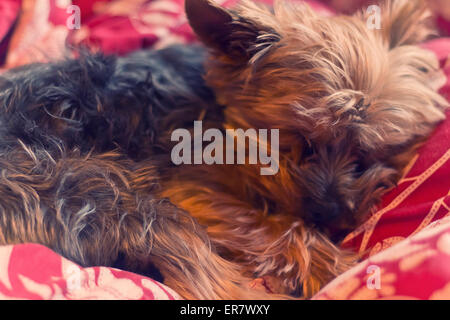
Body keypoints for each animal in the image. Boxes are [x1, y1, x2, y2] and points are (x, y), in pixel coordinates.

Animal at [0, 0, 446, 300]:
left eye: (370, 151)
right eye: (299, 140)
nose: (335, 215)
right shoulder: (182, 183)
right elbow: (273, 226)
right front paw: (331, 264)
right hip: (102, 191)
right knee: (211, 282)